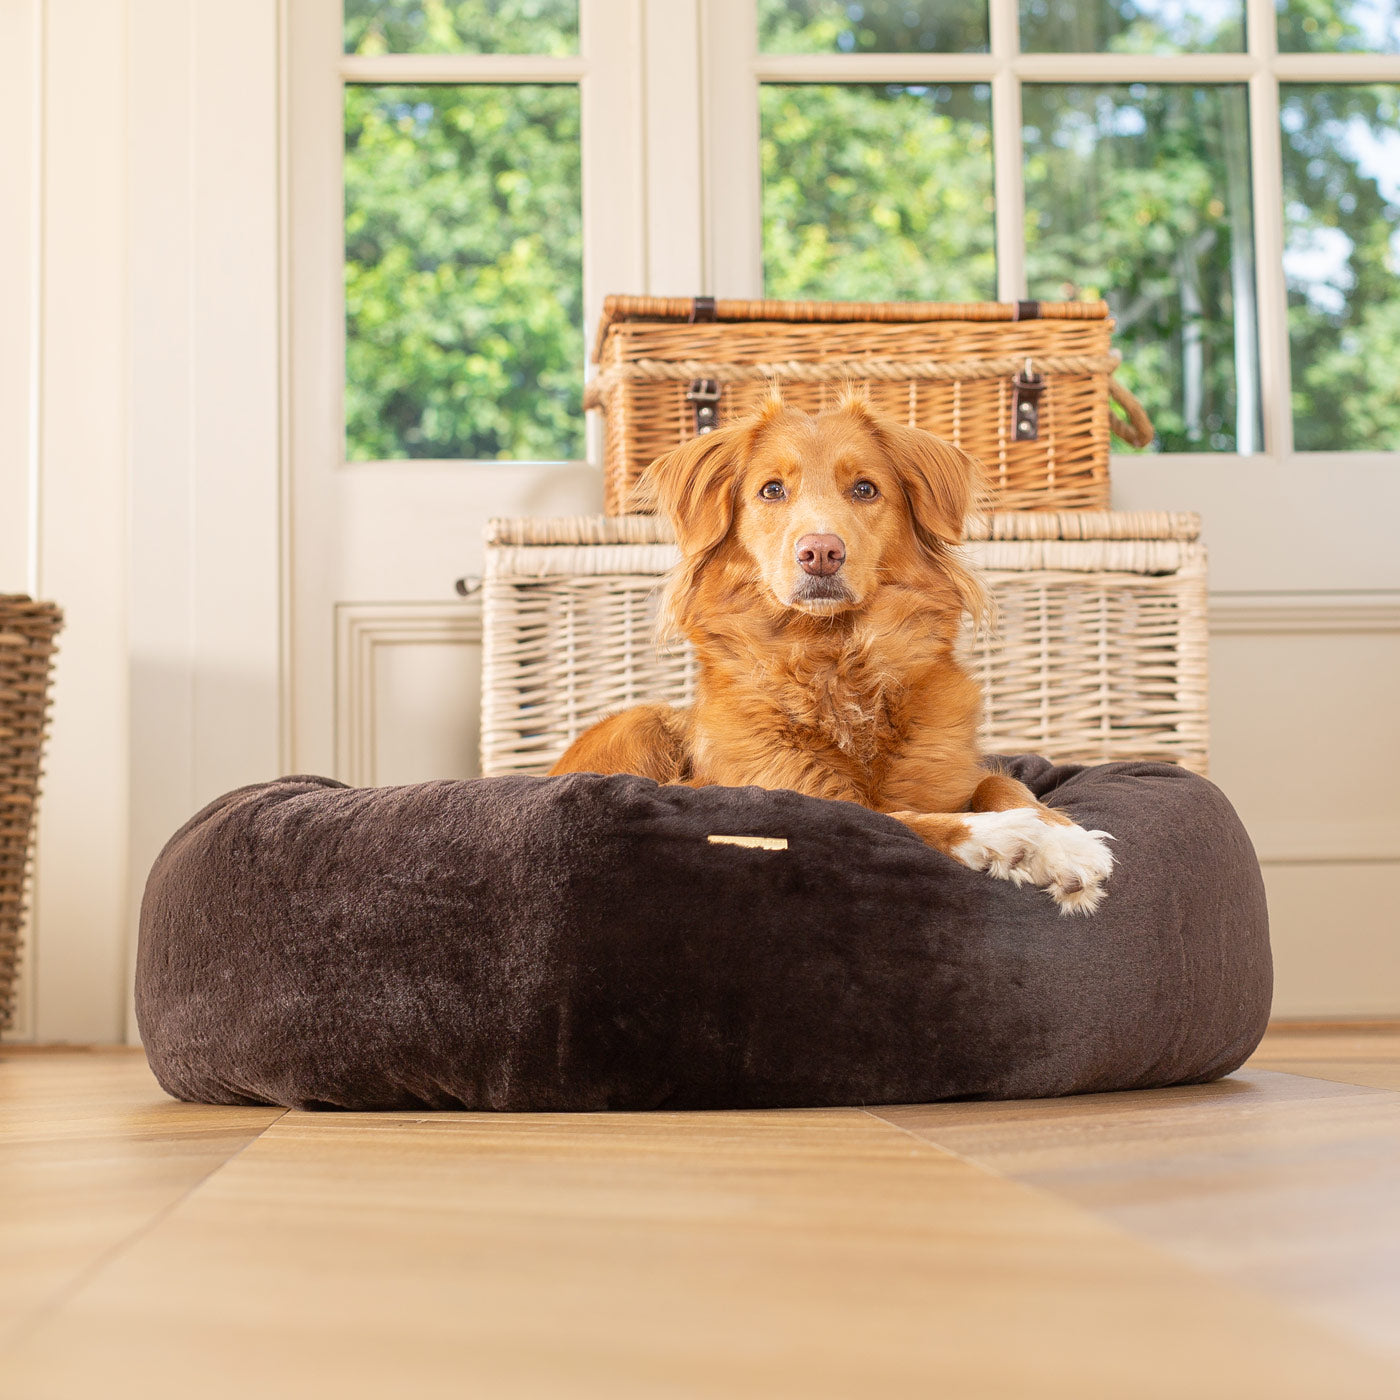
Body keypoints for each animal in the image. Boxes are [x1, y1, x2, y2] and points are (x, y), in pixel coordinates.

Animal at [551, 392, 1108, 918]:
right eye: (772, 490)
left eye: (864, 489)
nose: (820, 552)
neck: (836, 658)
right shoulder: (798, 798)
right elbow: (898, 819)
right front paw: (1011, 838)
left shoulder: (952, 773)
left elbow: (1001, 783)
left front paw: (1063, 837)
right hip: (639, 724)